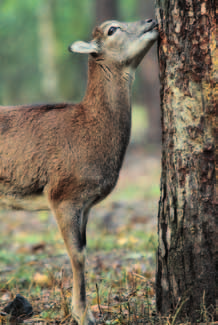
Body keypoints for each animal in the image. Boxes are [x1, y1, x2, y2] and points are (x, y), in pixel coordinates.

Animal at [0, 19, 158, 322]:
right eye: (112, 29)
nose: (151, 21)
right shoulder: (63, 193)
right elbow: (77, 255)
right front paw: (84, 316)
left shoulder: (85, 204)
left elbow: (84, 247)